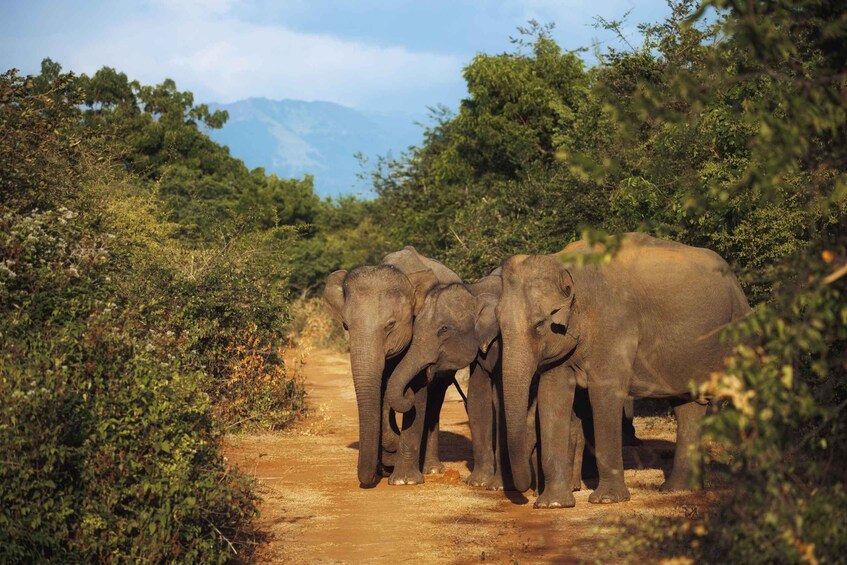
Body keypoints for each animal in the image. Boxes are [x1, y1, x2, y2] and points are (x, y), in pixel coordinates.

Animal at [323, 246, 461, 486]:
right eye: (346, 326)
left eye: (390, 325)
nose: (368, 479)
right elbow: (381, 391)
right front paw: (389, 460)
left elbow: (417, 389)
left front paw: (404, 480)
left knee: (436, 398)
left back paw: (432, 469)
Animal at [497, 233, 751, 507]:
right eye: (498, 323)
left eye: (539, 324)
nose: (526, 491)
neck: (564, 264)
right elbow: (551, 396)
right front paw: (552, 504)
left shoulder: (615, 324)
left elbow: (604, 394)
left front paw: (606, 500)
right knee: (688, 407)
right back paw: (676, 489)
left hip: (738, 327)